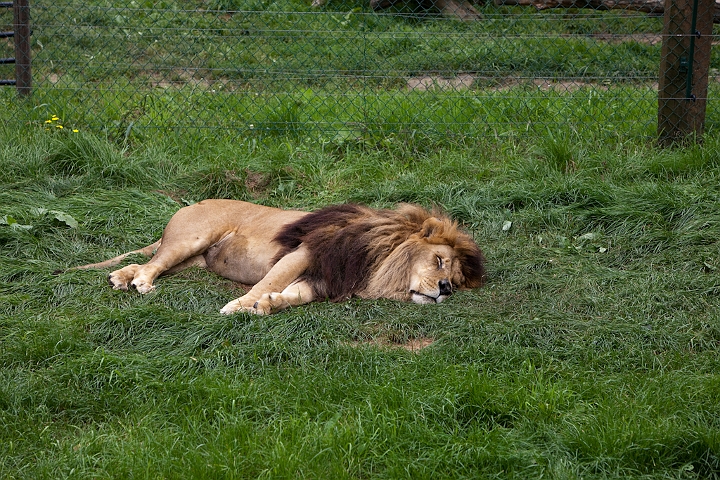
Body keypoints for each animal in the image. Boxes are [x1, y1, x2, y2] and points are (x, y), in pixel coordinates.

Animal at [73, 200, 486, 315]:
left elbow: (291, 296)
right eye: (439, 261)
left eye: (458, 281)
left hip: (191, 260)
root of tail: (193, 202)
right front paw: (240, 306)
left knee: (149, 261)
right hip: (191, 239)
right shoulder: (304, 252)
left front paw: (268, 306)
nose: (446, 289)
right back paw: (140, 283)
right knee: (154, 264)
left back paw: (123, 277)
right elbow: (267, 281)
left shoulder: (323, 281)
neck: (379, 263)